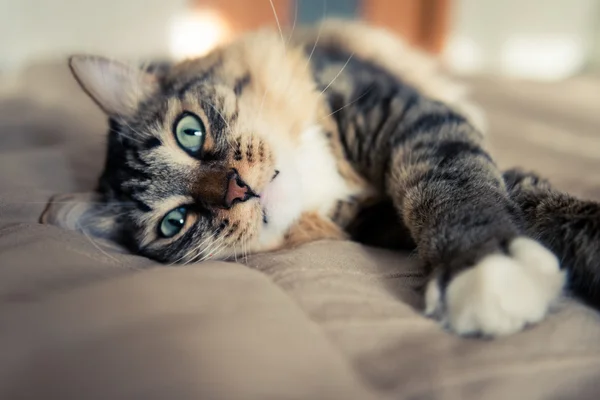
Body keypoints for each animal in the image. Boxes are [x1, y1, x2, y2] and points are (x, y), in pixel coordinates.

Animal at [42, 19, 600, 338]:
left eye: (189, 132)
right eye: (174, 223)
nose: (236, 189)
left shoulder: (408, 116)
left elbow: (461, 181)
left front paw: (486, 262)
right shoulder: (380, 218)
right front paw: (488, 269)